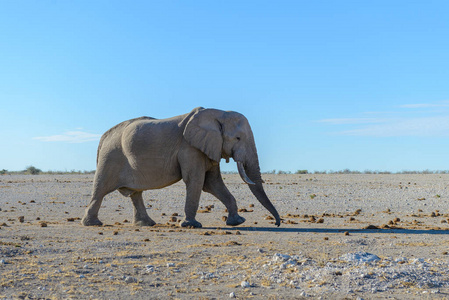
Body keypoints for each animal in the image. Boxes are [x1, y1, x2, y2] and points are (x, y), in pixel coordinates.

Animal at [81, 107, 280, 227]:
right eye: (238, 138)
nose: (277, 223)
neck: (218, 112)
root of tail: (104, 136)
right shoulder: (190, 148)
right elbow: (196, 181)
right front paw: (192, 225)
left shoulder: (208, 147)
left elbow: (212, 183)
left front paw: (236, 222)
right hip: (111, 157)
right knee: (101, 189)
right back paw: (92, 224)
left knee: (135, 194)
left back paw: (147, 224)